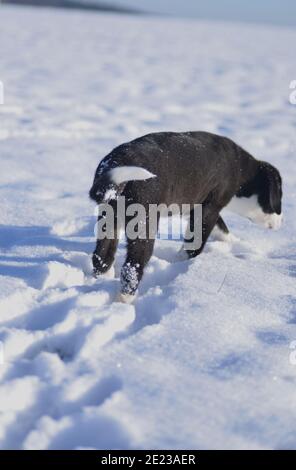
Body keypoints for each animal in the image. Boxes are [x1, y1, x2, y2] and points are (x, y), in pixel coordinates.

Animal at [89, 130, 282, 302]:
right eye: (279, 196)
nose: (282, 222)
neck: (241, 169)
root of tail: (118, 161)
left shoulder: (197, 204)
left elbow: (221, 229)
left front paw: (237, 243)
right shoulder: (211, 206)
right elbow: (196, 242)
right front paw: (181, 262)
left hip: (109, 218)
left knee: (101, 256)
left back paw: (102, 280)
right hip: (143, 223)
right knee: (132, 266)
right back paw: (124, 300)